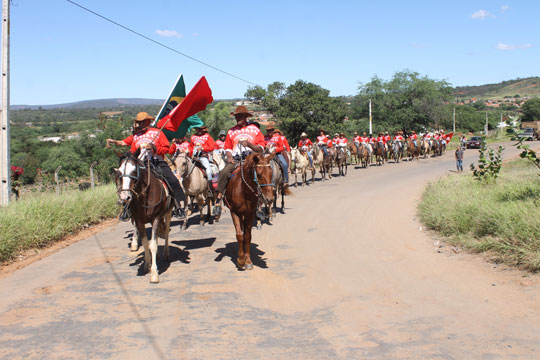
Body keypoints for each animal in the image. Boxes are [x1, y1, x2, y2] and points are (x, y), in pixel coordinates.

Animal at [115, 150, 173, 282]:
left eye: (134, 171)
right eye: (119, 172)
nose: (125, 197)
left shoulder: (156, 218)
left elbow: (153, 244)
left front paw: (154, 274)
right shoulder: (139, 221)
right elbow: (146, 243)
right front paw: (147, 265)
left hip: (168, 214)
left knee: (166, 231)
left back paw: (166, 253)